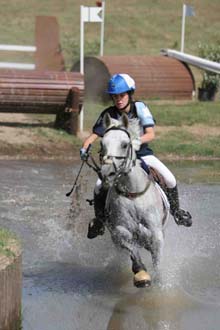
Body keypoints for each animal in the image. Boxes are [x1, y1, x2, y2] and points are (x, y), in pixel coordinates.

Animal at [99, 113, 170, 286]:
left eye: (125, 145)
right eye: (102, 144)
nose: (106, 174)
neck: (132, 193)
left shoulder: (156, 233)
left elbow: (157, 259)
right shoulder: (119, 232)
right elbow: (131, 248)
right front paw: (141, 275)